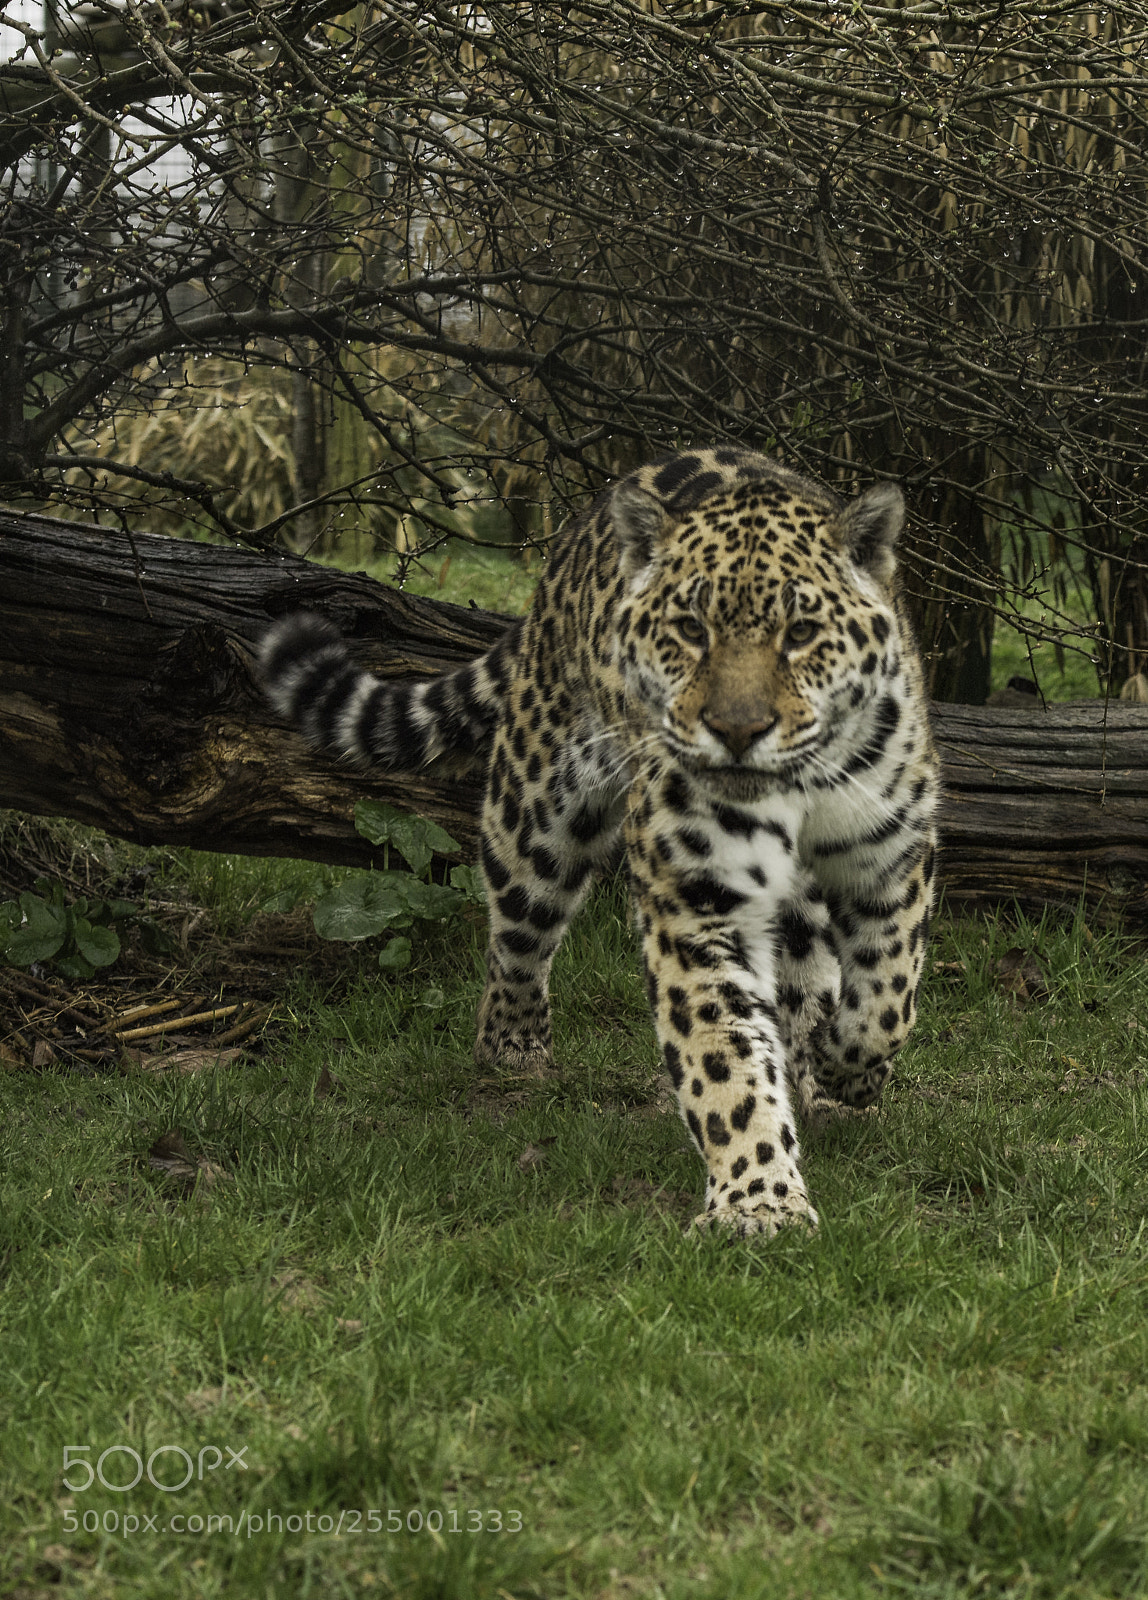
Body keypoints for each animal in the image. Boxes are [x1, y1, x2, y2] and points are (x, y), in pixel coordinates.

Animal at [260, 447, 939, 1236]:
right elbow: (724, 1059)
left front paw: (840, 1074)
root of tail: (572, 539)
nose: (737, 731)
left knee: (808, 963)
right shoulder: (693, 900)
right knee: (516, 939)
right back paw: (513, 1049)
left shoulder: (891, 859)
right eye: (690, 628)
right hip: (536, 815)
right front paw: (759, 1199)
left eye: (800, 633)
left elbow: (888, 1001)